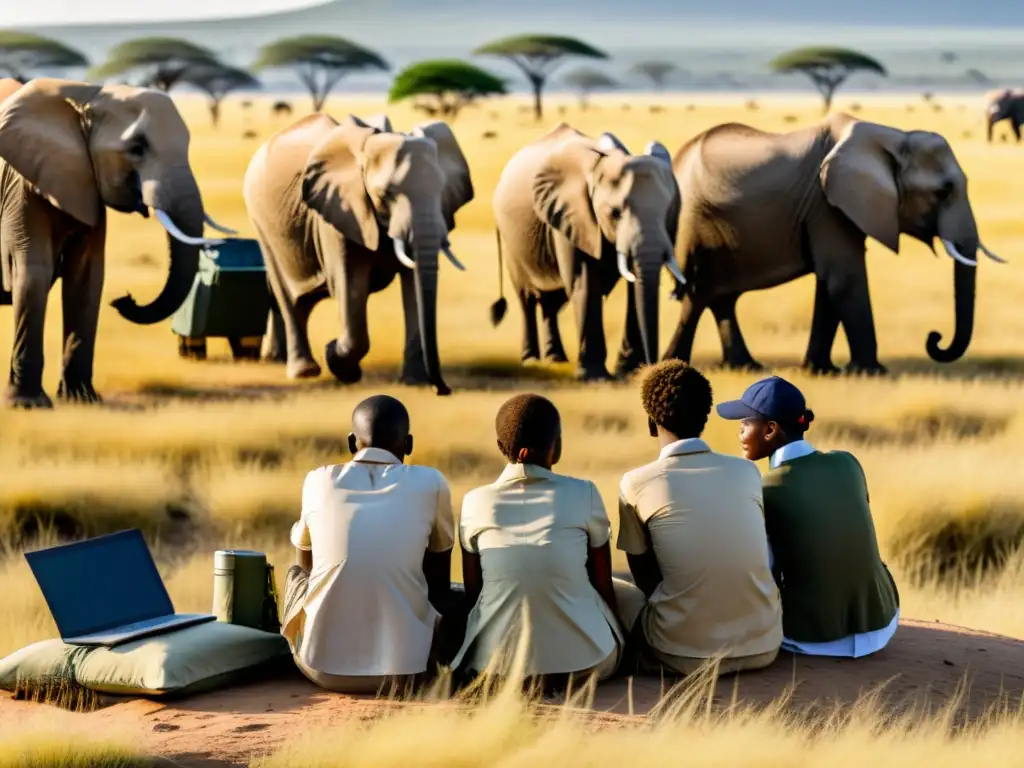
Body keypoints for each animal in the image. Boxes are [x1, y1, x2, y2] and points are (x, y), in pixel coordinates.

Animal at [0, 78, 228, 409]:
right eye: (137, 147)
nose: (125, 299)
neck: (86, 95)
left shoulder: (87, 184)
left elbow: (87, 277)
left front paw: (83, 400)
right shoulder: (23, 186)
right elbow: (34, 273)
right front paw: (29, 405)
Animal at [245, 112, 473, 397]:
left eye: (441, 190)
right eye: (386, 194)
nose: (443, 390)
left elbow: (413, 285)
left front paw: (414, 382)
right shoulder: (340, 211)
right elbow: (350, 285)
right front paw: (337, 358)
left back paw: (278, 358)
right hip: (261, 221)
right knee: (287, 296)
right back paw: (304, 371)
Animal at [491, 122, 684, 382]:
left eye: (668, 211)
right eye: (615, 213)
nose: (652, 367)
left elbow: (634, 285)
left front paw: (627, 369)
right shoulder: (572, 215)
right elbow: (584, 281)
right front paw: (595, 377)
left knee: (552, 301)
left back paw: (556, 359)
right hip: (511, 238)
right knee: (527, 299)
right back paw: (531, 360)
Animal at [663, 114, 1007, 376]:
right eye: (942, 192)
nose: (934, 337)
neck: (892, 138)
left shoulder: (835, 206)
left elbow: (830, 283)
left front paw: (820, 371)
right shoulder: (825, 203)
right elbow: (844, 277)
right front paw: (872, 374)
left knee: (721, 296)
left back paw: (744, 366)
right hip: (692, 222)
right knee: (700, 292)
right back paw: (673, 364)